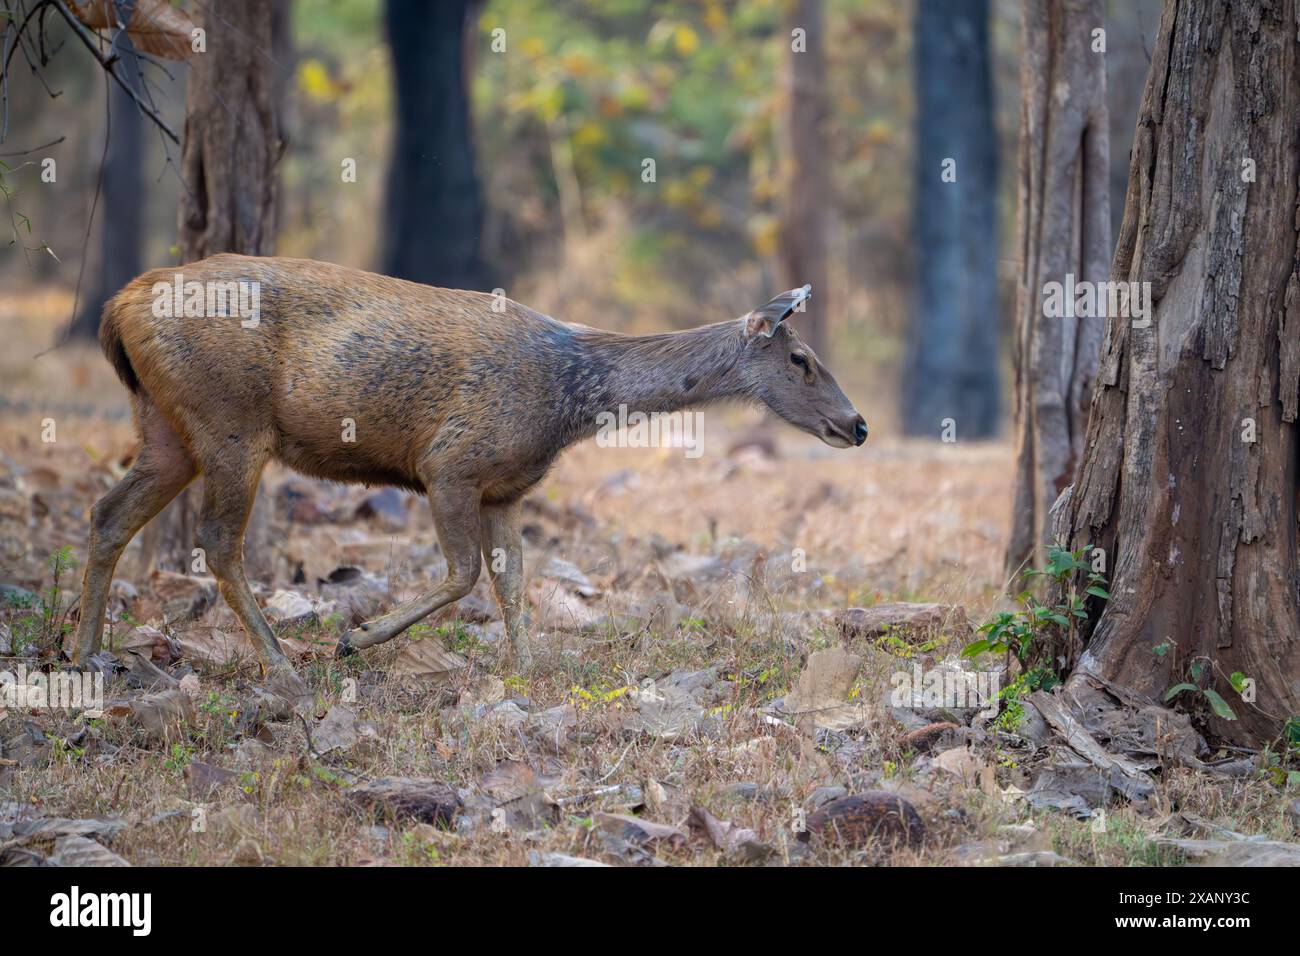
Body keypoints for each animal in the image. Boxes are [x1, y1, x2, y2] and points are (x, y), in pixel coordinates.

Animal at [68, 257, 863, 707]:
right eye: (801, 360)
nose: (857, 425)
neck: (572, 401)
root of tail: (117, 309)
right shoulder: (450, 463)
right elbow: (465, 572)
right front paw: (358, 638)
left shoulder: (506, 487)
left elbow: (514, 580)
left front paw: (528, 669)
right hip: (230, 418)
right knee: (218, 541)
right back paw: (282, 665)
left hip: (168, 426)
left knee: (108, 513)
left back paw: (83, 652)